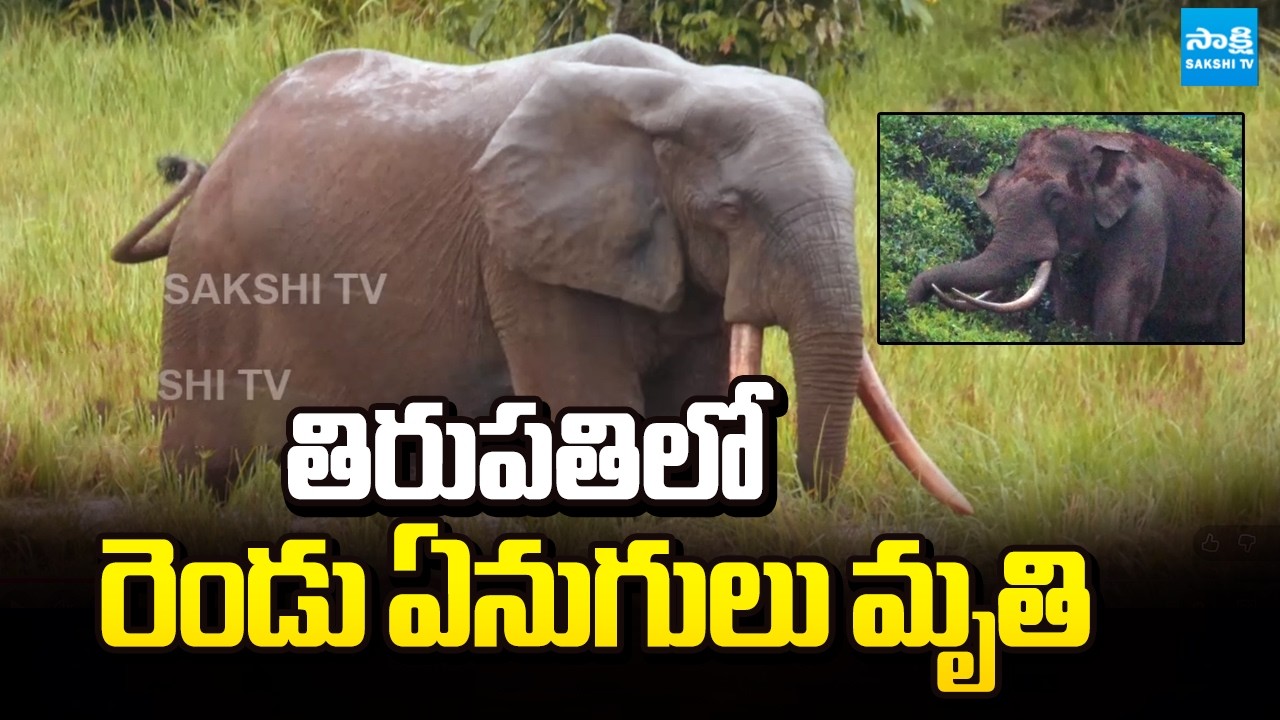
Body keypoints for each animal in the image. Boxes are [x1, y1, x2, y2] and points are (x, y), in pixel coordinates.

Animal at [110, 34, 972, 515]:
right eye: (731, 209)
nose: (816, 501)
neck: (676, 88)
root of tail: (224, 149)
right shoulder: (520, 252)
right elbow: (598, 403)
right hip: (215, 283)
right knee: (207, 465)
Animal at [905, 125, 1244, 342]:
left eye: (1056, 198)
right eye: (999, 198)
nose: (913, 302)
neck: (1095, 143)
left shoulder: (1146, 219)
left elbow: (1122, 303)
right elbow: (1072, 307)